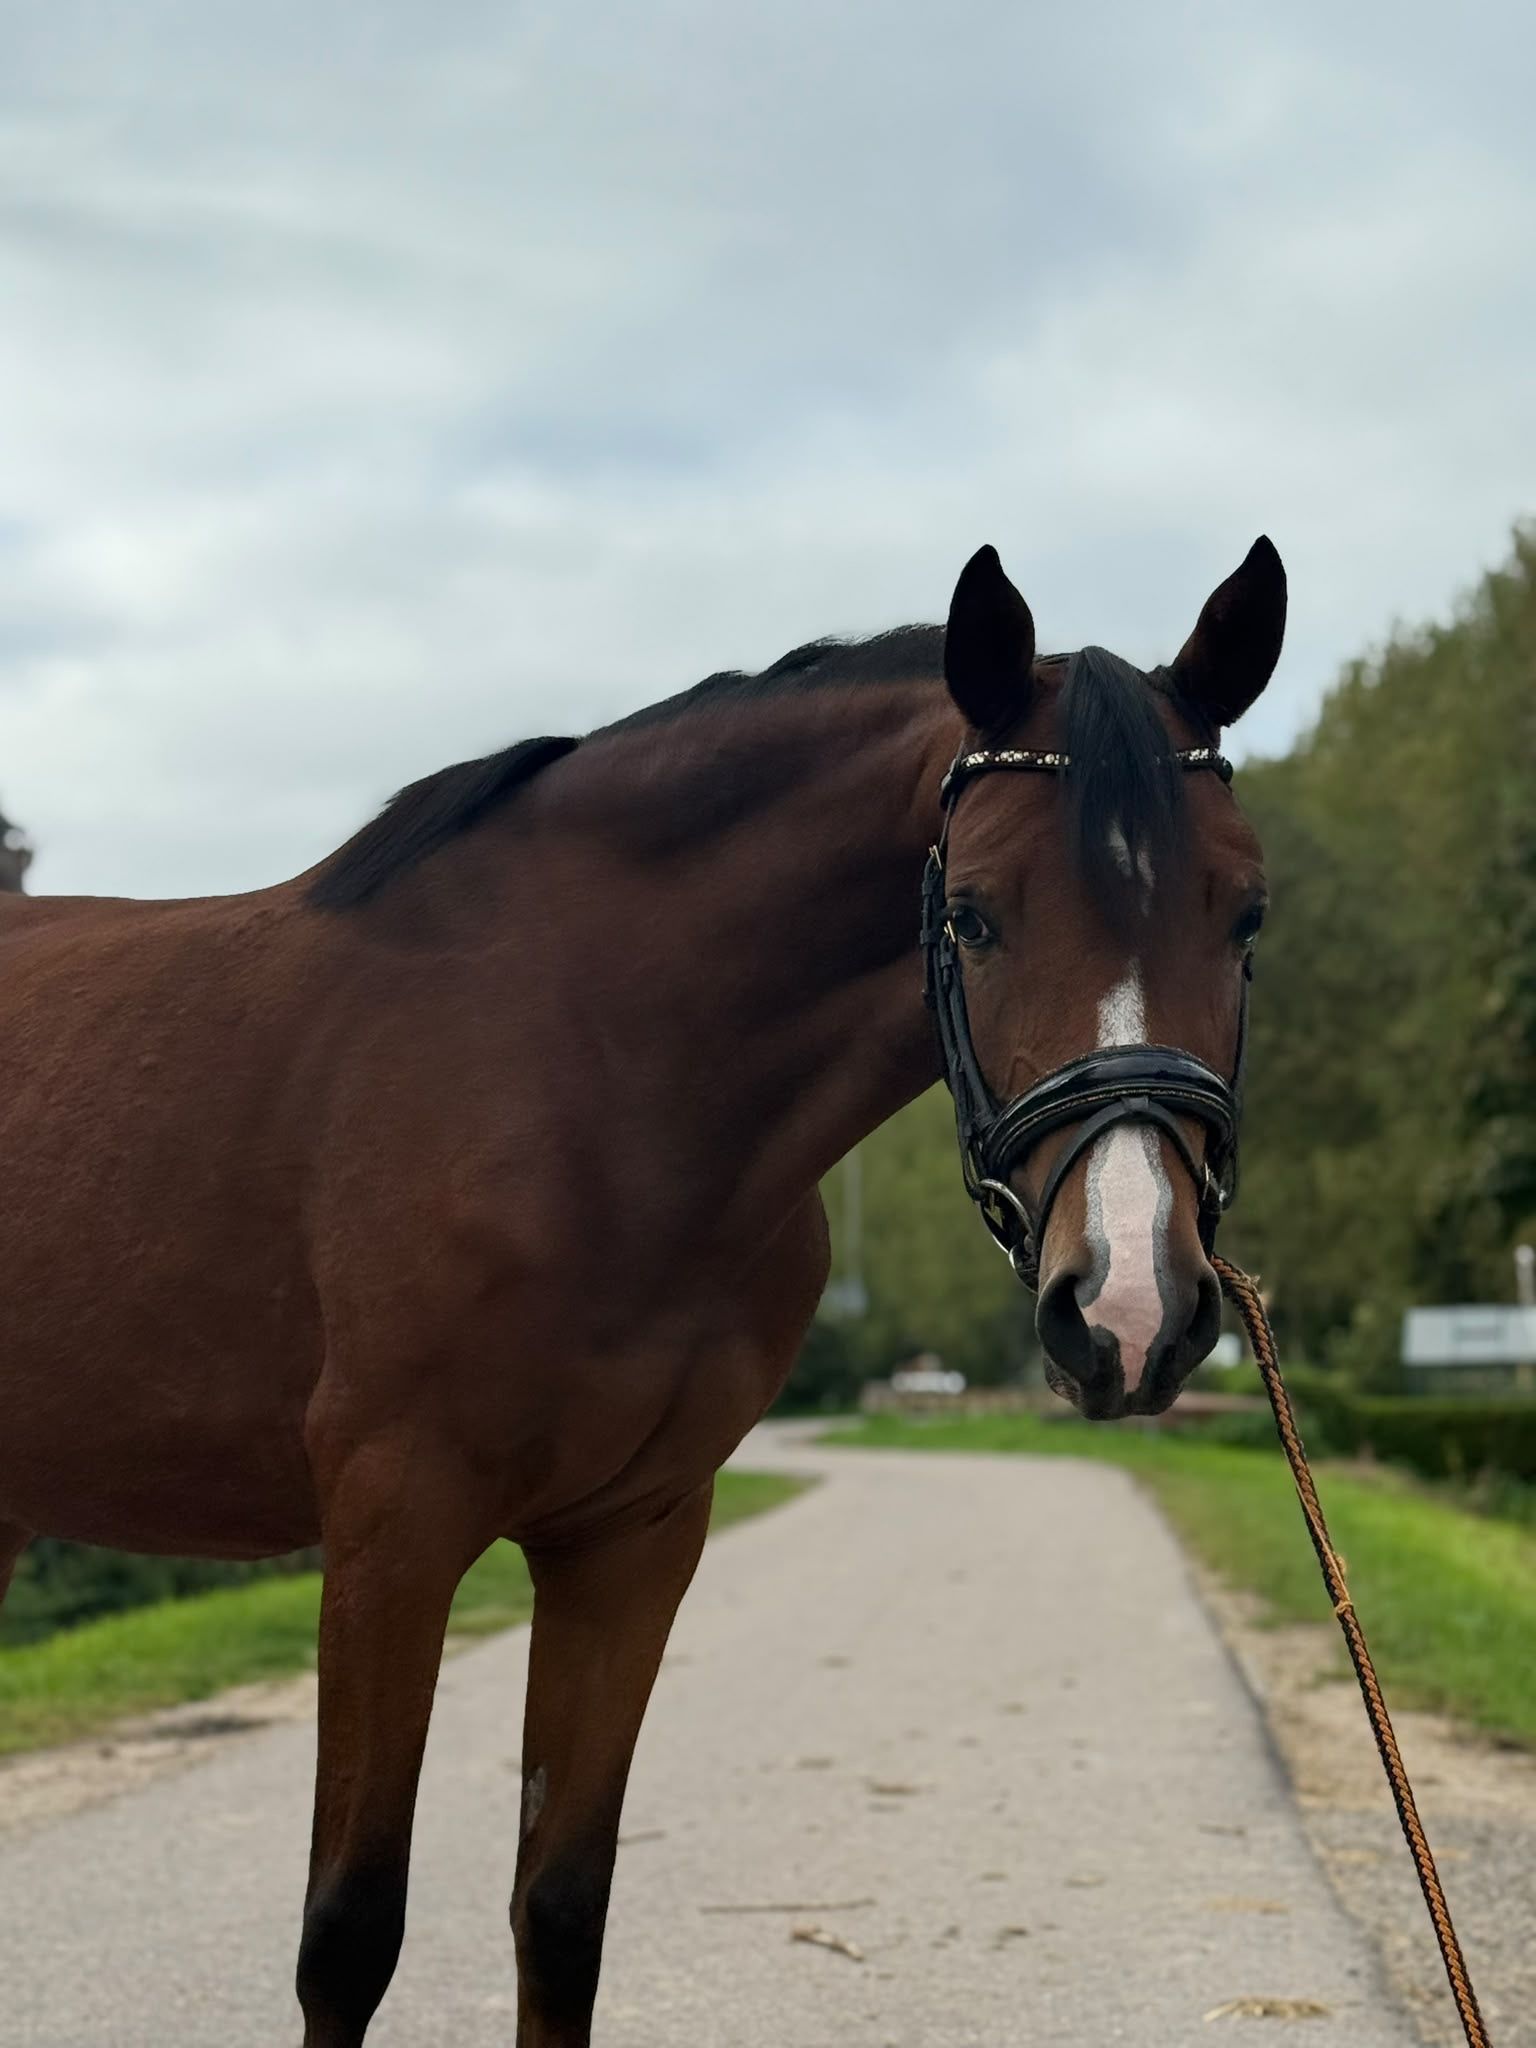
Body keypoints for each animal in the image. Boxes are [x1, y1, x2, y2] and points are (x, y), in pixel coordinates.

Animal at [0, 536, 1284, 2045]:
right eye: (972, 913)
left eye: (1248, 911)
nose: (1132, 1305)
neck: (587, 1068)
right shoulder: (391, 1528)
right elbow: (349, 1935)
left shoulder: (635, 1536)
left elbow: (560, 1915)